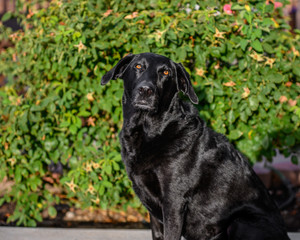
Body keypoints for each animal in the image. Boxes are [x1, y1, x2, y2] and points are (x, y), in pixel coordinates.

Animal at [101, 53, 290, 240]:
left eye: (166, 73)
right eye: (138, 66)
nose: (146, 90)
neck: (151, 131)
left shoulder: (173, 201)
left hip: (240, 223)